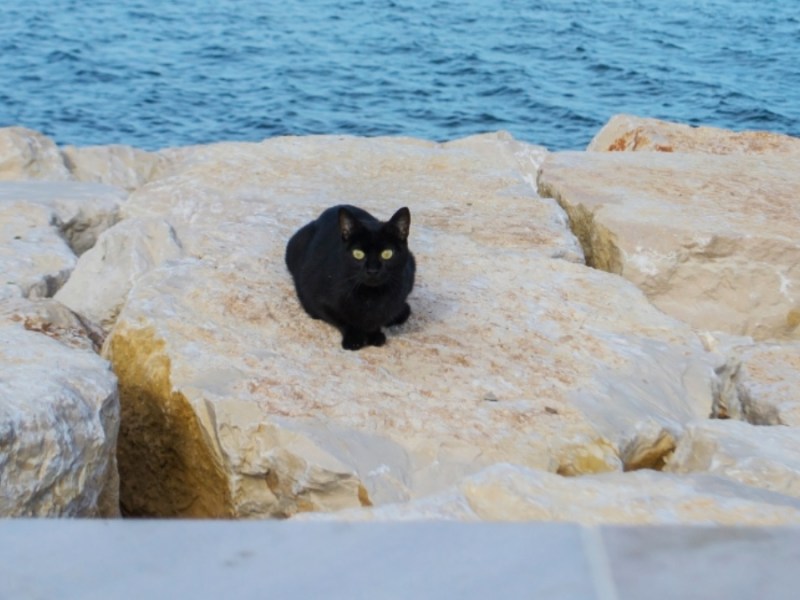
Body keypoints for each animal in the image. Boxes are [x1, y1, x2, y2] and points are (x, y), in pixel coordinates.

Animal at [284, 204, 416, 350]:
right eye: (358, 254)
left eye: (387, 254)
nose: (372, 270)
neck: (370, 296)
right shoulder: (313, 298)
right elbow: (341, 319)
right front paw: (354, 338)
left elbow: (380, 319)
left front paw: (374, 334)